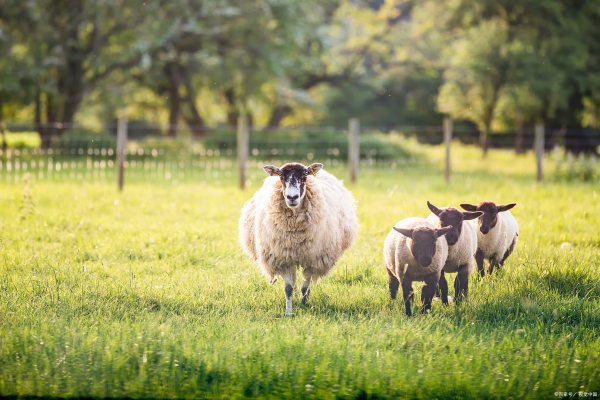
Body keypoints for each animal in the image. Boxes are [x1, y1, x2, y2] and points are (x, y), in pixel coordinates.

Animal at [238, 162, 356, 316]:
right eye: (281, 176)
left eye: (304, 176)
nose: (292, 197)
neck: (295, 235)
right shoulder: (283, 258)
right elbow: (288, 288)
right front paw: (289, 312)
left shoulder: (312, 260)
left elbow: (305, 287)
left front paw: (304, 304)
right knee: (293, 281)